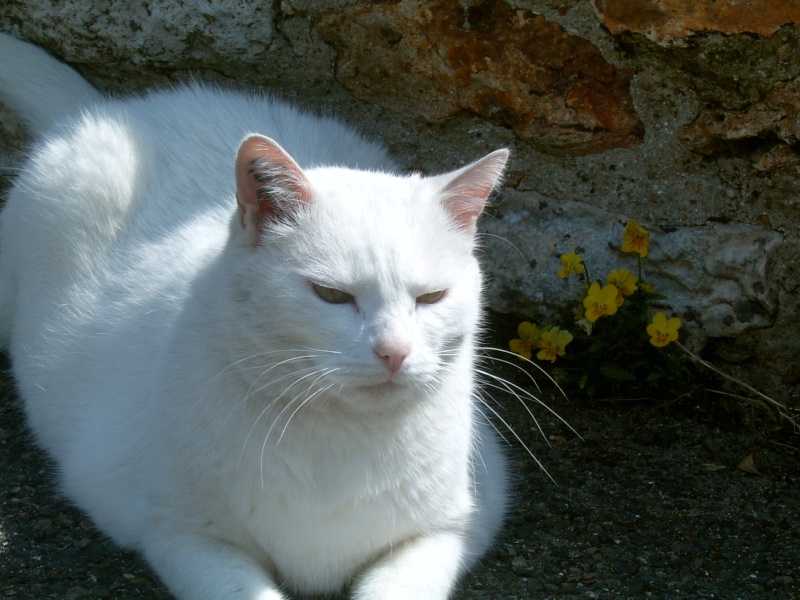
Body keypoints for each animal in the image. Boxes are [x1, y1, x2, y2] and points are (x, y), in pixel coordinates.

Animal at [0, 34, 510, 600]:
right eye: (331, 295)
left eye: (432, 297)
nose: (393, 351)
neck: (340, 440)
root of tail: (114, 110)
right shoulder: (186, 536)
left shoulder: (454, 527)